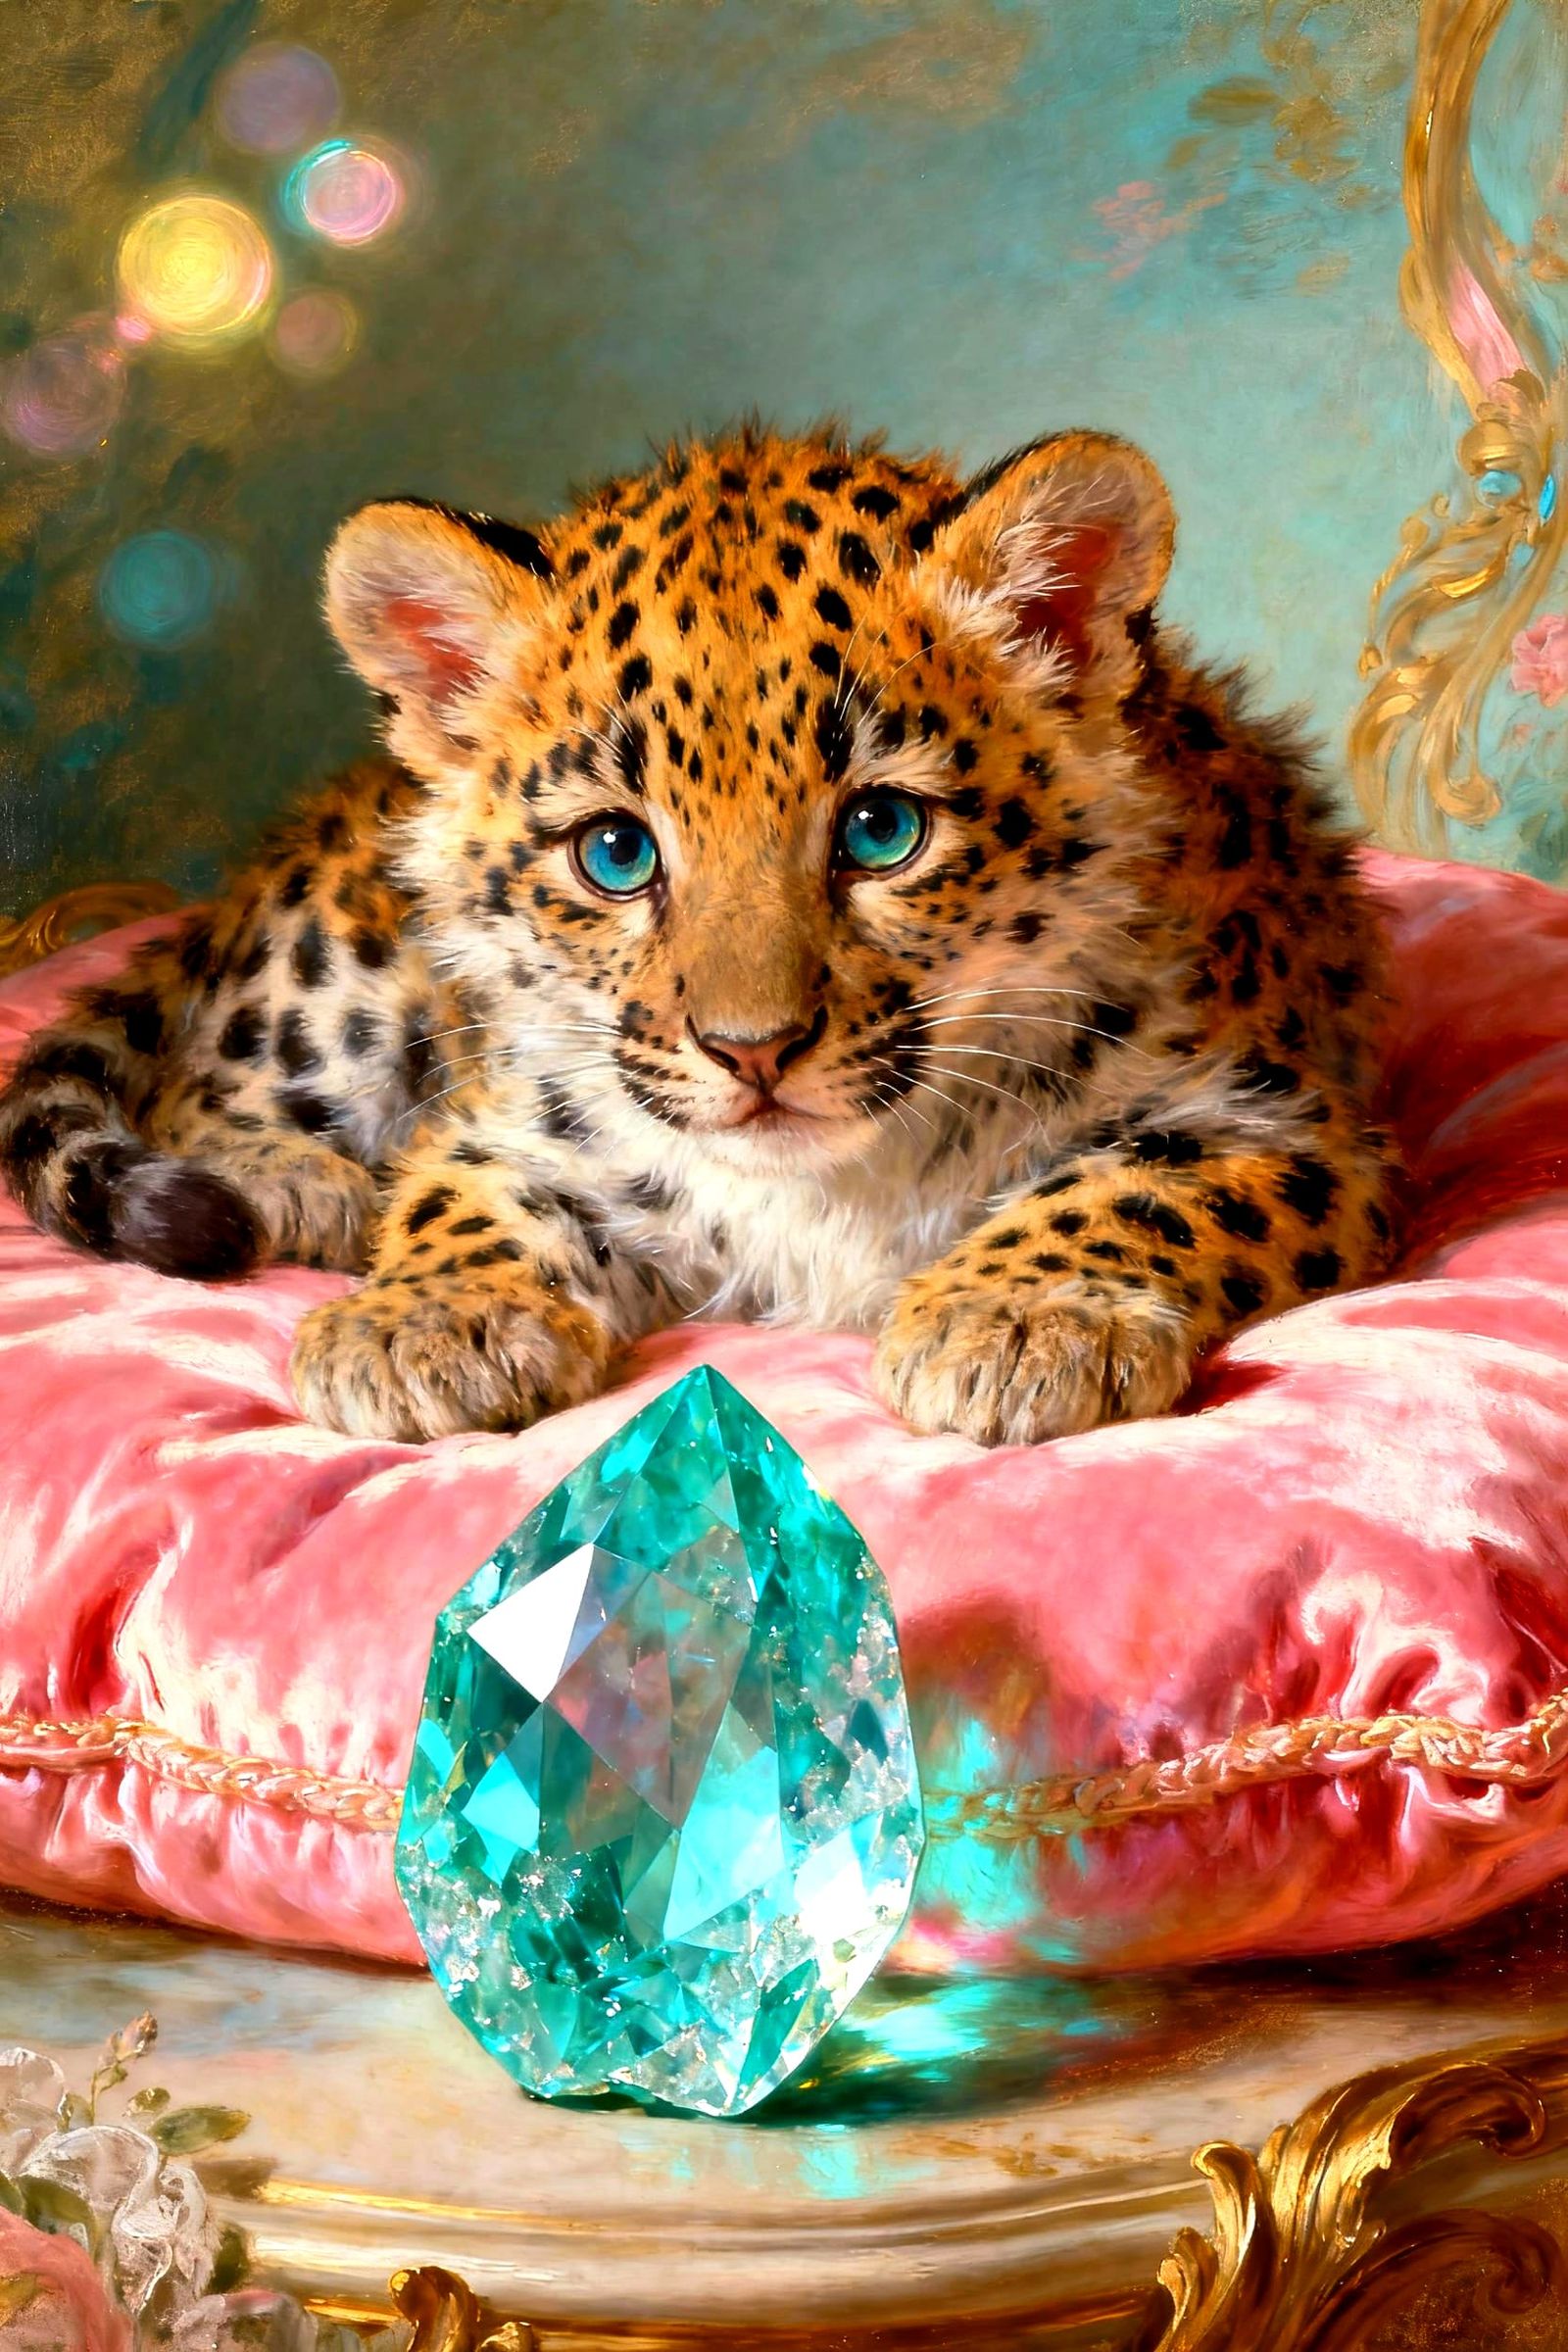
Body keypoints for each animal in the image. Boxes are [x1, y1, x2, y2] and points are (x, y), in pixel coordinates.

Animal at [0, 422, 1396, 1449]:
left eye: (881, 830)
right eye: (616, 854)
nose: (752, 1051)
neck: (828, 1187)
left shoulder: (1279, 1124)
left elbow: (1131, 1186)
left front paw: (1021, 1321)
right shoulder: (522, 1120)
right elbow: (469, 1198)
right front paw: (426, 1327)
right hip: (332, 983)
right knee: (199, 1087)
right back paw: (307, 1185)